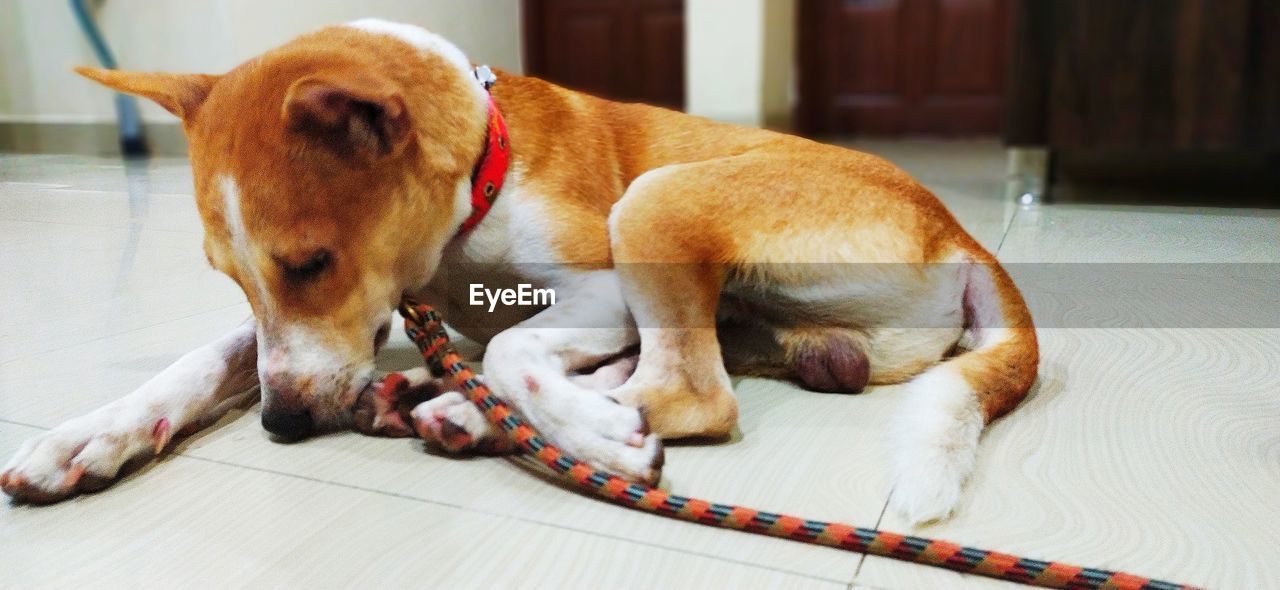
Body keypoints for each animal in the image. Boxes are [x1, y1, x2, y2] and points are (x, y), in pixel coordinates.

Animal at [0, 19, 1034, 524]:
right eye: (231, 277)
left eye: (312, 260)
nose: (284, 424)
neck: (479, 173)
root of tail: (957, 230)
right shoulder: (355, 321)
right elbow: (210, 358)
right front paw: (89, 436)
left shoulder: (596, 283)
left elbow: (511, 353)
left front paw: (585, 431)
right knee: (690, 363)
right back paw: (435, 399)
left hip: (658, 200)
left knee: (694, 391)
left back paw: (496, 417)